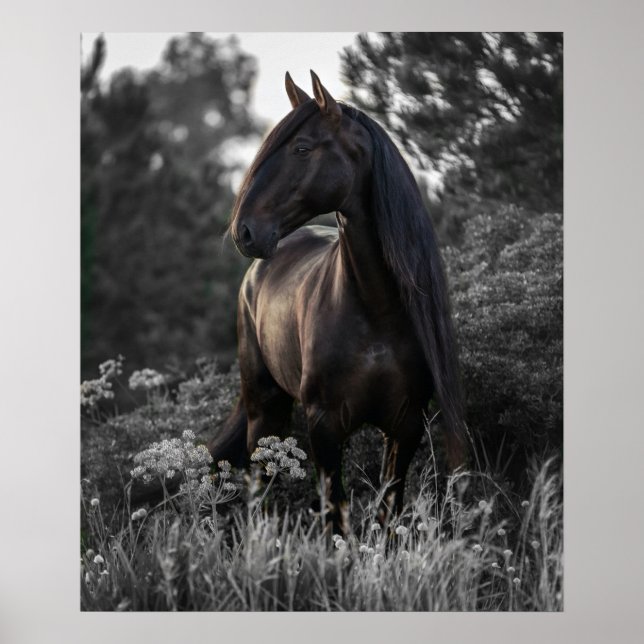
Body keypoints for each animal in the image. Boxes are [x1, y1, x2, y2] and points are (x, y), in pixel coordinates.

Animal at [208, 71, 466, 534]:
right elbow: (336, 516)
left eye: (302, 148)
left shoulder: (405, 426)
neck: (376, 310)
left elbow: (387, 513)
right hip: (264, 408)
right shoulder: (325, 426)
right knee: (261, 489)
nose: (245, 232)